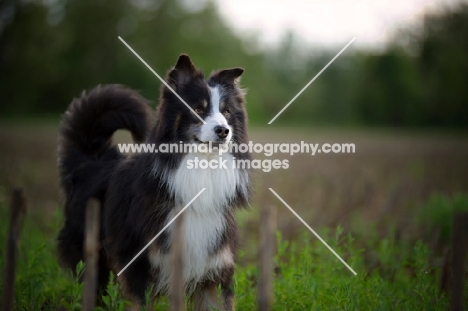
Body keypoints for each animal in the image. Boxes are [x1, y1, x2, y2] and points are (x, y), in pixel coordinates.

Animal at [57, 54, 252, 310]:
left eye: (227, 111)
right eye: (198, 109)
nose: (223, 131)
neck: (200, 170)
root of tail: (92, 159)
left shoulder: (215, 267)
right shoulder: (139, 267)